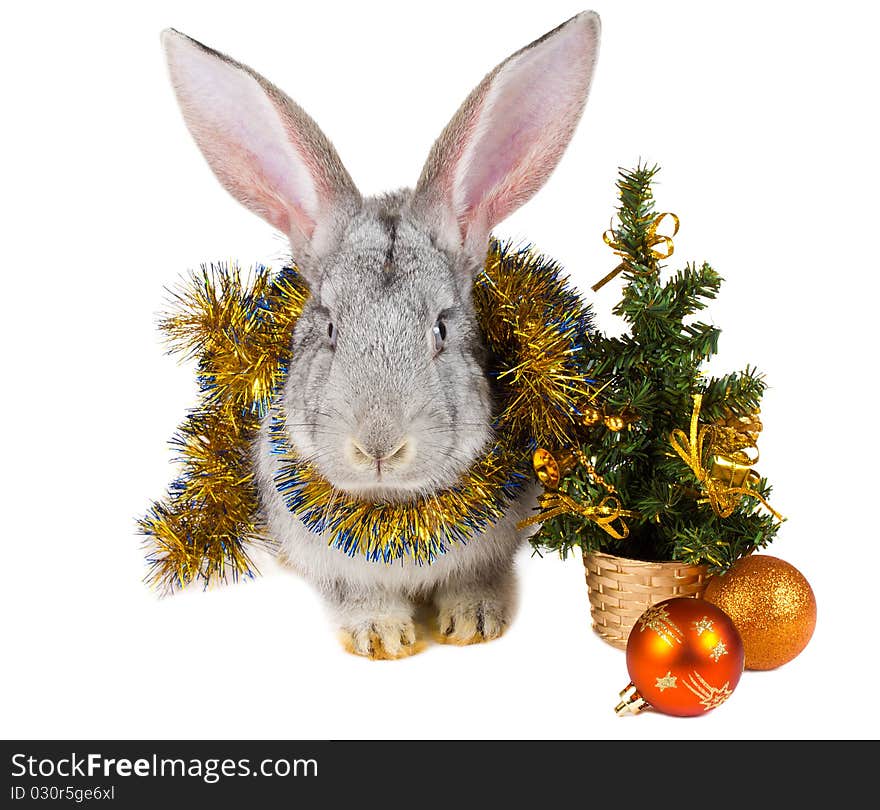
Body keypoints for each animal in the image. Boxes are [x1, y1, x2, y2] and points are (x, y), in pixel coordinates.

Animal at [162, 11, 600, 656]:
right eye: (329, 327)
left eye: (441, 328)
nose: (378, 448)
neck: (393, 506)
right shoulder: (335, 567)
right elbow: (361, 596)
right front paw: (383, 639)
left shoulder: (493, 549)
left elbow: (476, 580)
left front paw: (474, 624)